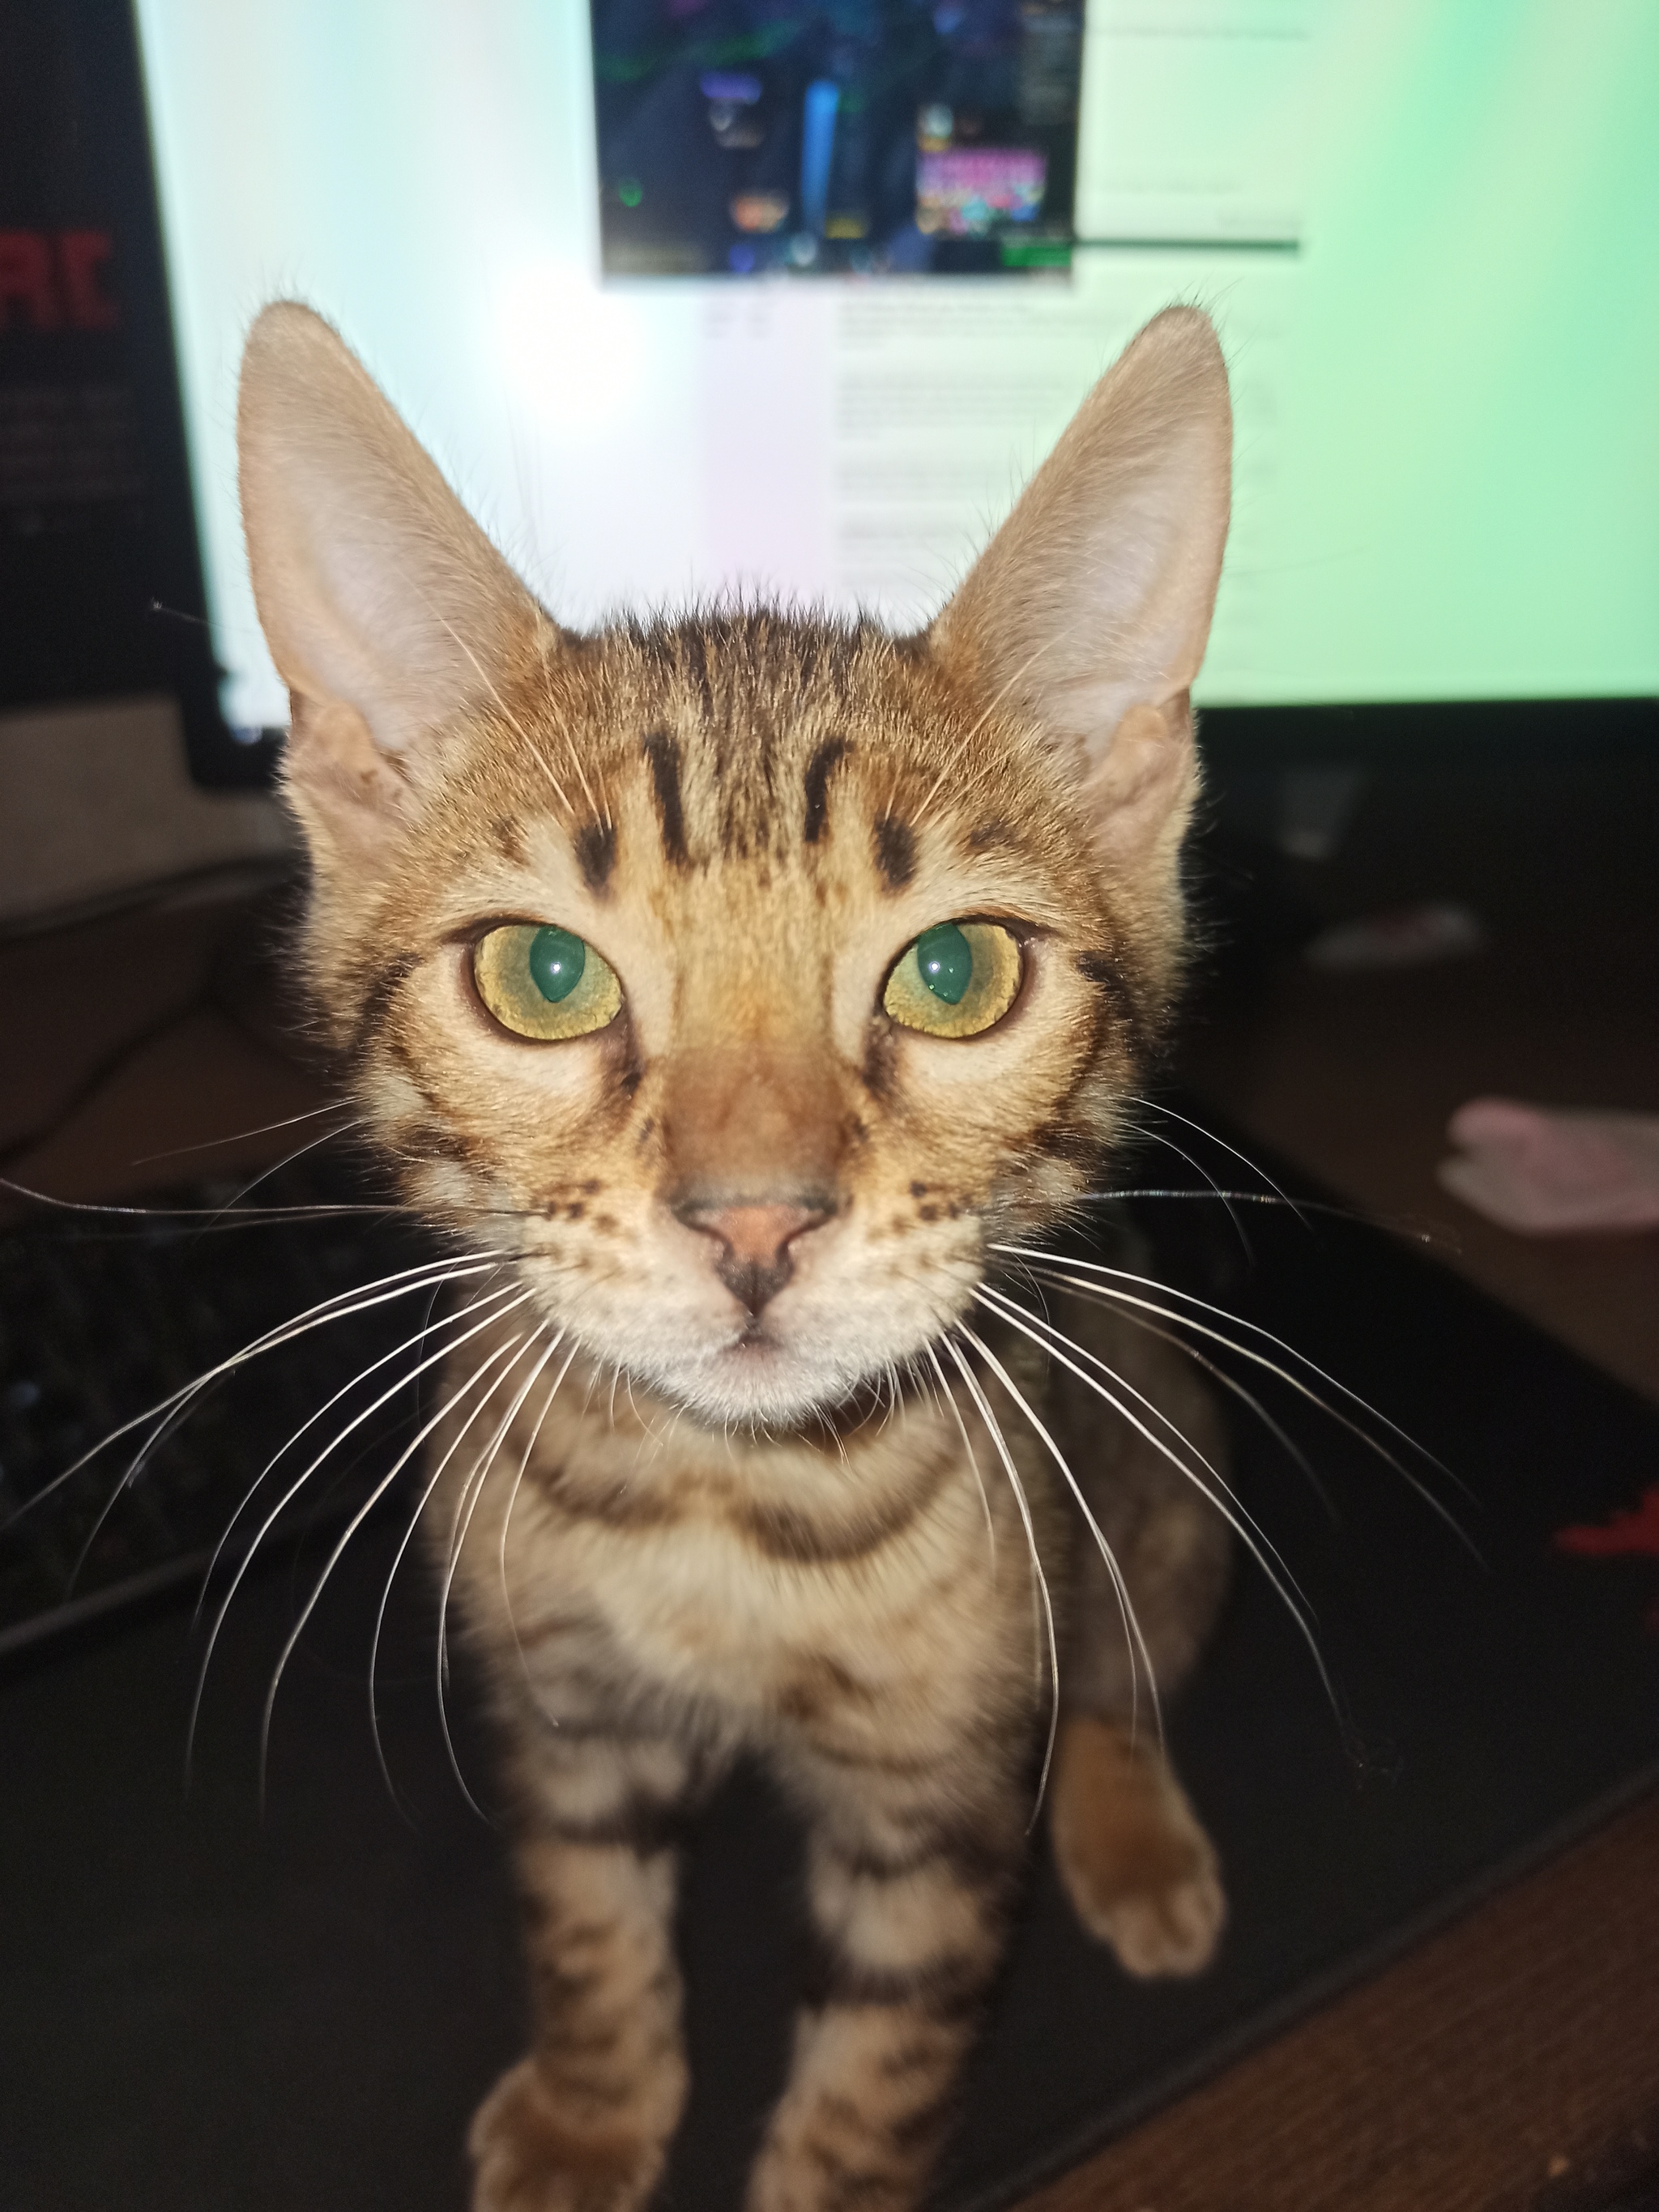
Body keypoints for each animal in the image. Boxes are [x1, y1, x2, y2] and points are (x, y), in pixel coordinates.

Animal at [240, 298, 1239, 2212]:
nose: (754, 1217)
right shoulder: (559, 1709)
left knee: (1121, 1674)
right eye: (544, 976)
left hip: (1153, 1489)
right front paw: (589, 2104)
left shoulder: (934, 1799)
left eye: (955, 975)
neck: (724, 1503)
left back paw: (1134, 1829)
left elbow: (879, 2064)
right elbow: (584, 1921)